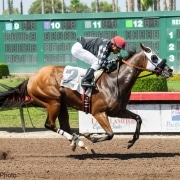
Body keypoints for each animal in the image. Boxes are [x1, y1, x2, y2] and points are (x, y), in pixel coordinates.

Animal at [0, 43, 172, 150]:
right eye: (154, 57)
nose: (169, 70)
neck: (114, 81)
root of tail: (31, 78)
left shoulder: (118, 111)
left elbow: (138, 118)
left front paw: (131, 141)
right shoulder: (98, 112)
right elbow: (110, 134)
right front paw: (92, 136)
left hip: (61, 104)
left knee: (64, 126)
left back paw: (77, 142)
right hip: (52, 102)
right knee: (50, 125)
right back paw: (77, 141)